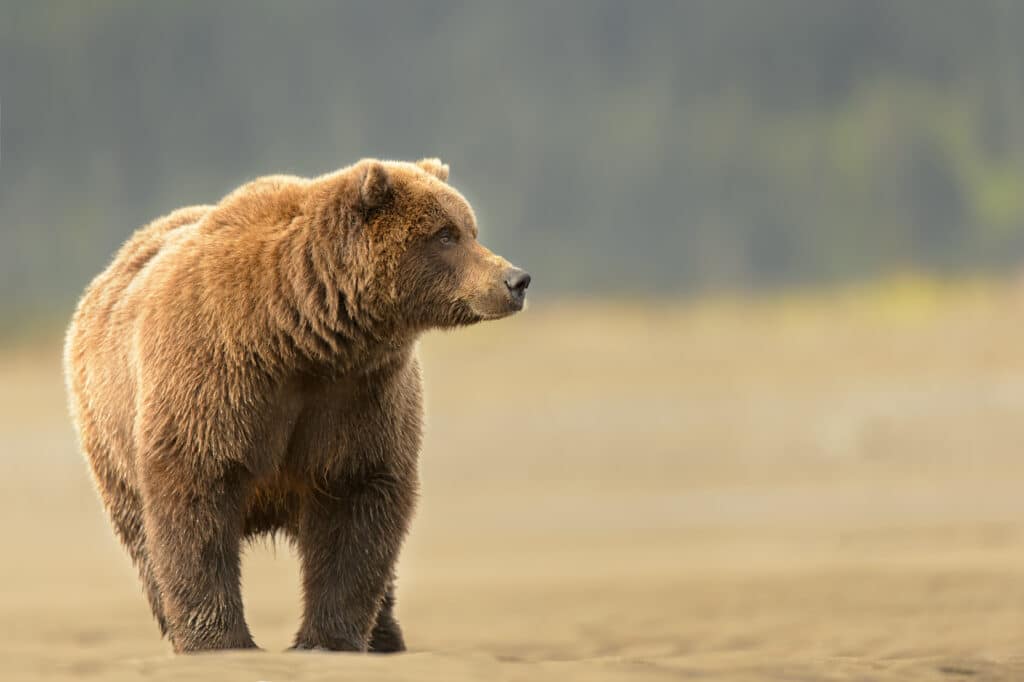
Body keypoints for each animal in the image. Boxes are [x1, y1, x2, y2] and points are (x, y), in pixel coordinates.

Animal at [62, 158, 530, 653]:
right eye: (445, 235)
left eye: (470, 229)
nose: (515, 279)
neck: (298, 335)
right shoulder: (216, 379)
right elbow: (195, 496)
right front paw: (220, 639)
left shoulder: (359, 397)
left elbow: (358, 505)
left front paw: (328, 638)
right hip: (110, 441)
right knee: (141, 536)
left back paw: (387, 636)